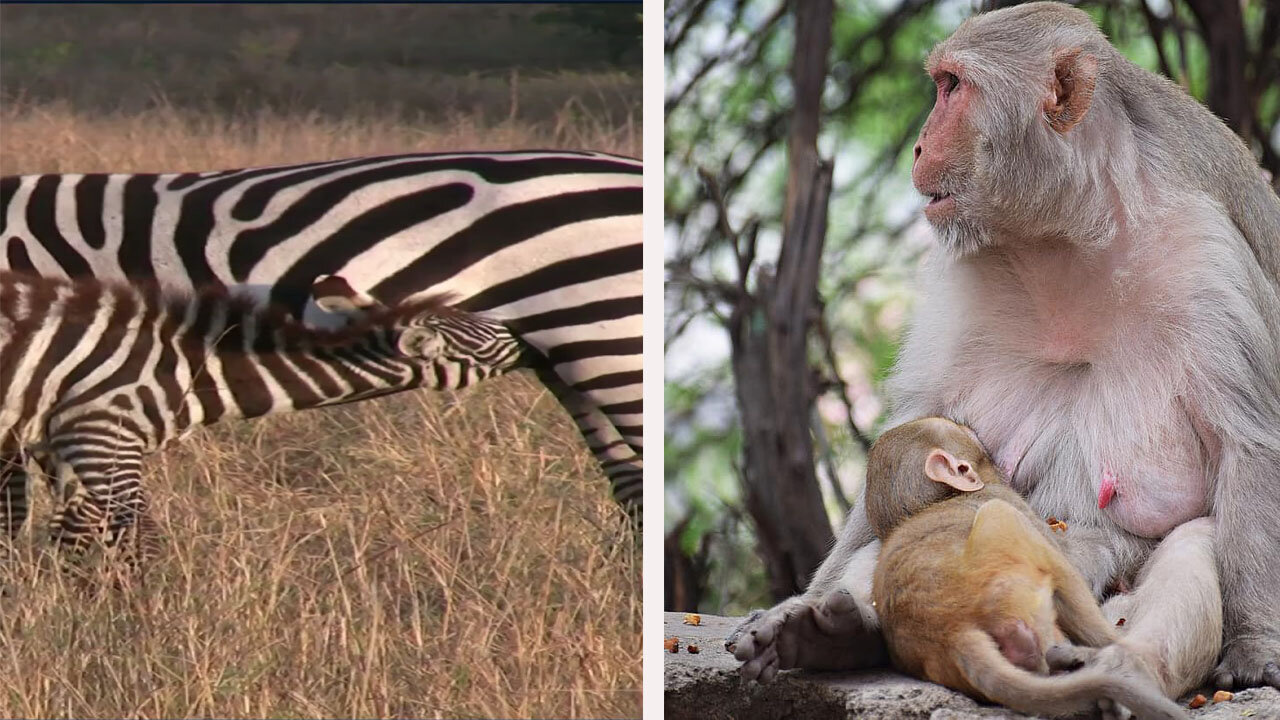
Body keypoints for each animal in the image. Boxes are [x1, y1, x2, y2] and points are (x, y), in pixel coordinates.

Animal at [0, 269, 529, 556]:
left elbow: (73, 536)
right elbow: (141, 538)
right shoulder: (100, 434)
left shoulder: (70, 444)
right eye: (484, 343)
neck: (197, 368)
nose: (533, 340)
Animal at [865, 415, 1182, 717]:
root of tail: (951, 633)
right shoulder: (1005, 498)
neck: (945, 499)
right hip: (1007, 576)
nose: (984, 441)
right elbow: (1068, 567)